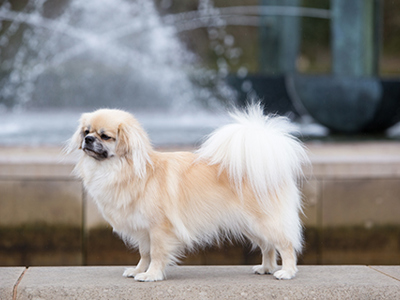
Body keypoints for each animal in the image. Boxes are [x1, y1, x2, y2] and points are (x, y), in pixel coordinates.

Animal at [67, 103, 308, 282]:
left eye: (105, 136)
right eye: (86, 132)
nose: (88, 139)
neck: (125, 170)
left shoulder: (159, 229)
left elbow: (157, 254)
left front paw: (151, 275)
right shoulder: (144, 230)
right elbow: (145, 254)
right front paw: (138, 271)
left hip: (264, 221)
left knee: (285, 245)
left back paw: (286, 272)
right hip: (251, 225)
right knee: (268, 246)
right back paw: (266, 268)